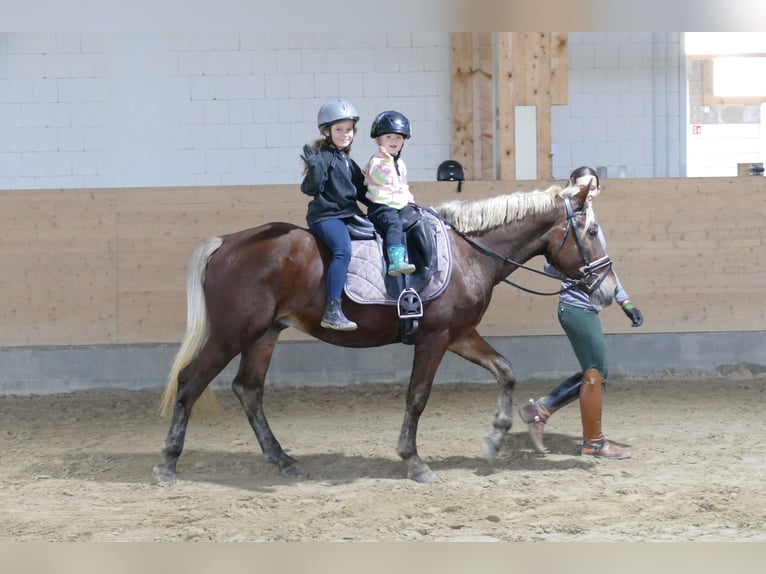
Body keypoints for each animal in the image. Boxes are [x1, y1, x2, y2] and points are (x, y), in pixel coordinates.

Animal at [154, 182, 616, 484]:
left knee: (248, 389)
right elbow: (417, 397)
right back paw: (167, 463)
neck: (469, 252)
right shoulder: (434, 338)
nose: (608, 289)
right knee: (190, 383)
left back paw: (283, 460)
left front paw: (496, 437)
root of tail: (227, 242)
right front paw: (413, 461)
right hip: (232, 333)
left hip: (264, 334)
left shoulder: (460, 333)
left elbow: (505, 370)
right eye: (592, 232)